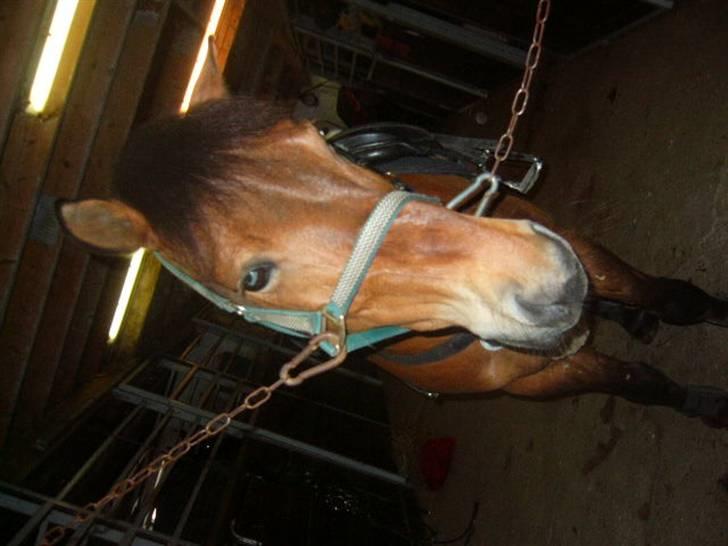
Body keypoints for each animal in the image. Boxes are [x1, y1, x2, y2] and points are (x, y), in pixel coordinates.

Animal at [57, 59, 728, 429]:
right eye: (252, 279)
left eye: (317, 140)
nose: (544, 278)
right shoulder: (535, 381)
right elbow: (642, 384)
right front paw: (699, 400)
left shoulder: (587, 253)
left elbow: (673, 301)